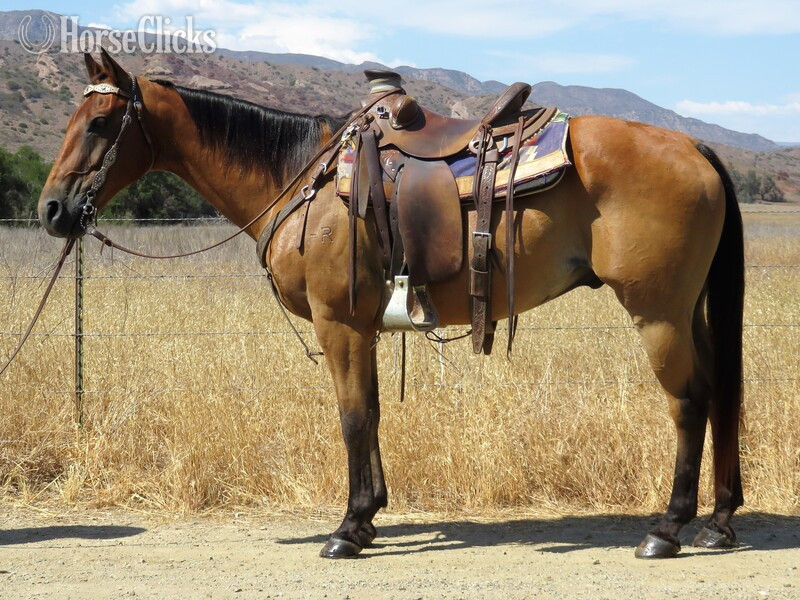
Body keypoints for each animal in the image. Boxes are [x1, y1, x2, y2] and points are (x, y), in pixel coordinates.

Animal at [37, 49, 744, 560]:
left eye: (98, 123)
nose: (51, 209)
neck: (302, 181)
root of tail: (695, 147)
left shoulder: (339, 322)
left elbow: (353, 417)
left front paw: (347, 529)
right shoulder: (365, 327)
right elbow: (372, 413)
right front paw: (371, 514)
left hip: (658, 314)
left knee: (689, 402)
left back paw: (667, 529)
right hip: (688, 311)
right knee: (721, 392)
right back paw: (719, 522)